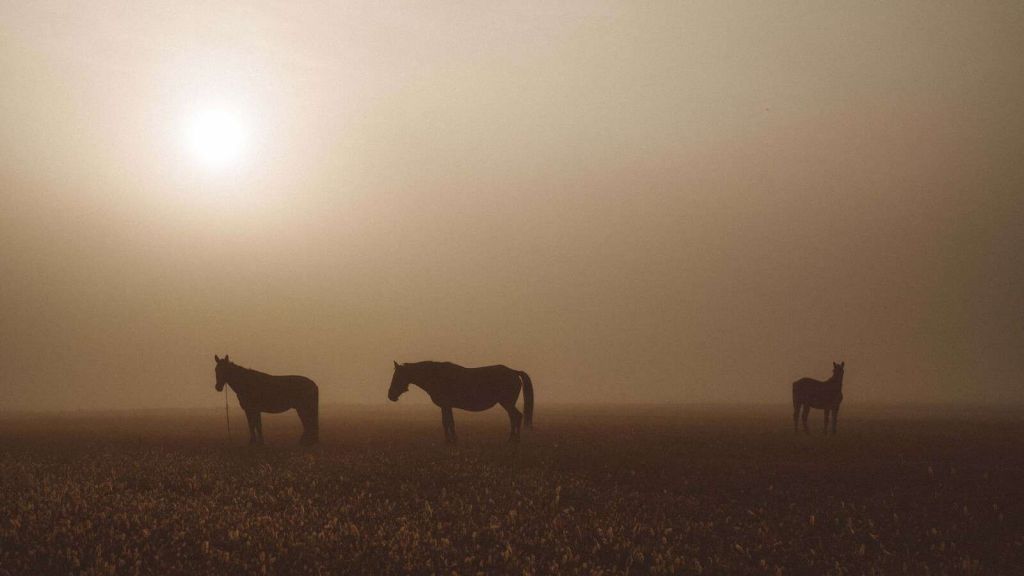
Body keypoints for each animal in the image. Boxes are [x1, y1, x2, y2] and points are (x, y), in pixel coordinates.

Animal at [385, 358, 536, 444]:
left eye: (397, 376)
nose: (390, 395)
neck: (436, 376)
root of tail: (514, 372)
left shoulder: (446, 405)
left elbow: (448, 422)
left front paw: (451, 440)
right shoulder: (446, 406)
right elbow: (448, 422)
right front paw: (450, 440)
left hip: (507, 403)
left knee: (517, 416)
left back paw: (514, 439)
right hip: (508, 404)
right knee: (514, 417)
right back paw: (512, 439)